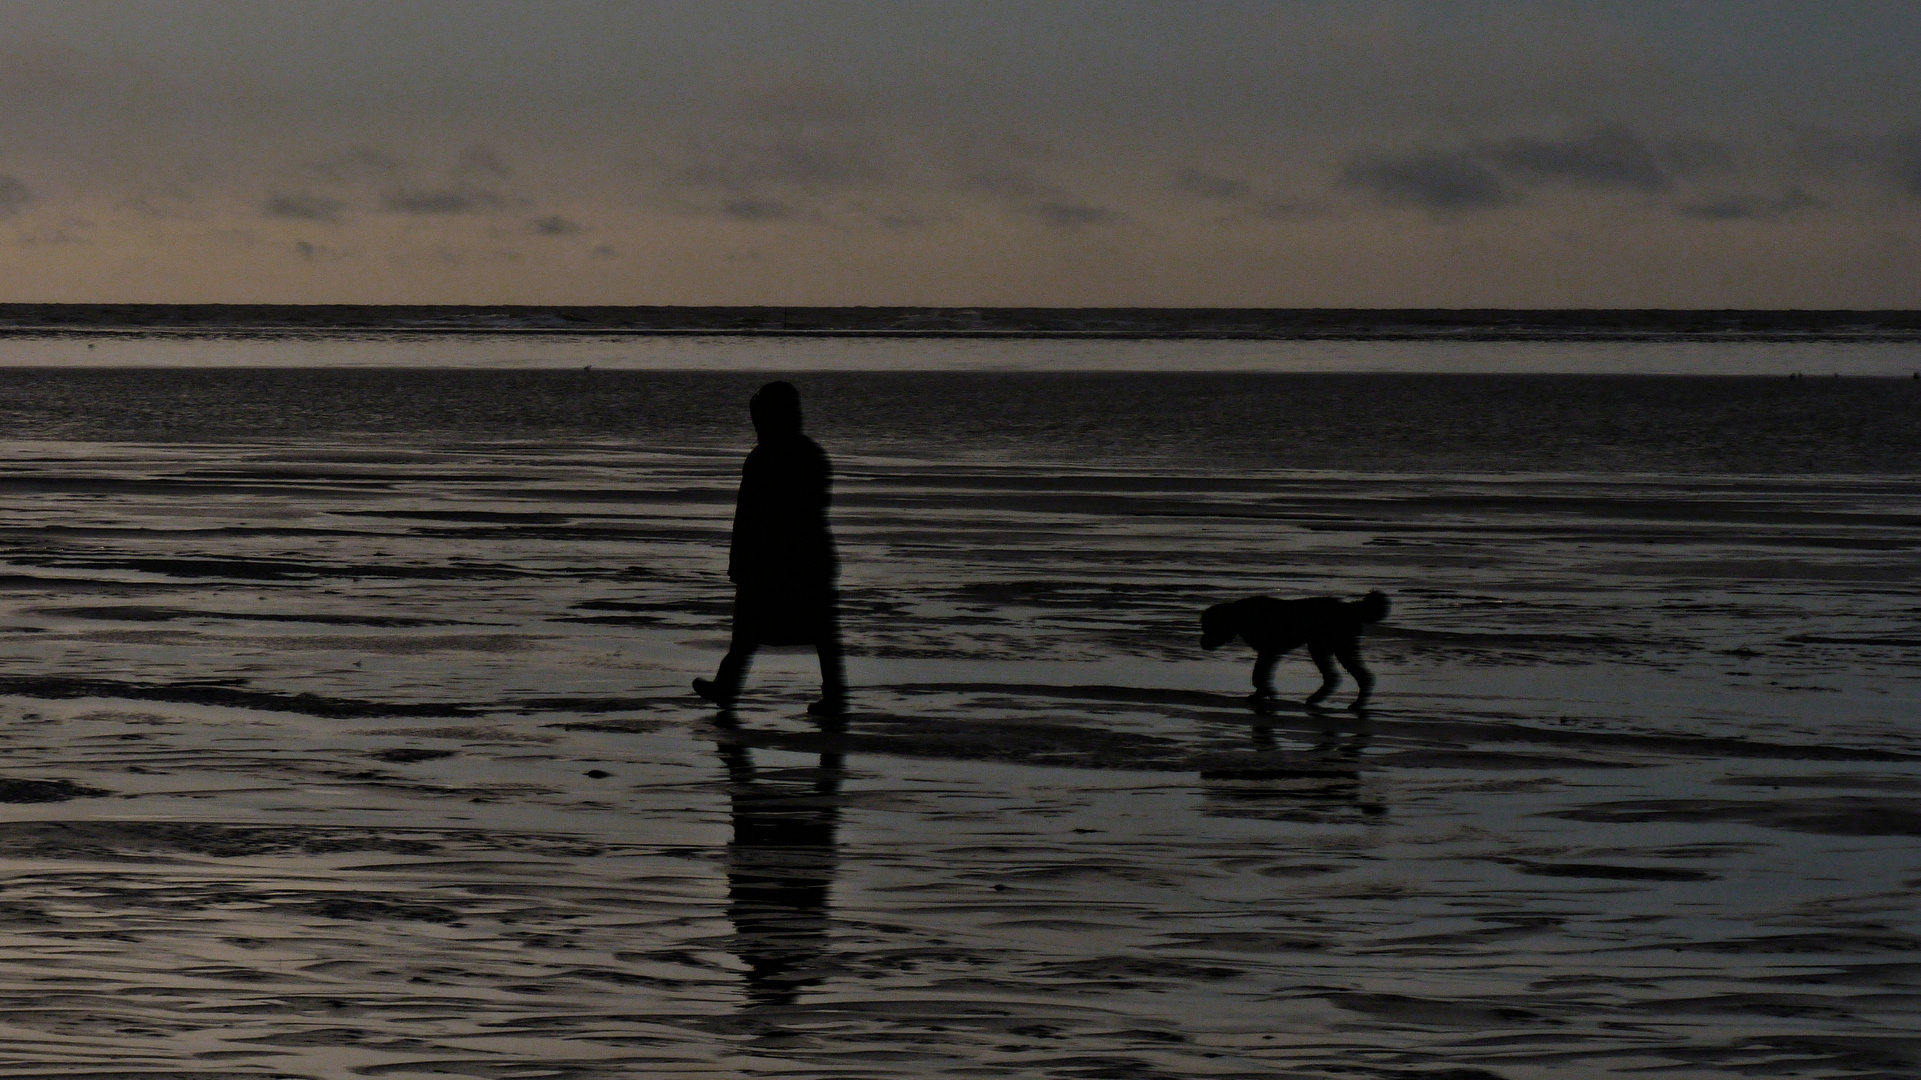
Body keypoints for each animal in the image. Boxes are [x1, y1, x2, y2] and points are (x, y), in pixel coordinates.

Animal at [1191, 588, 1390, 707]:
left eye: (1209, 628)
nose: (1202, 643)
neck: (1240, 616)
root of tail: (1352, 608)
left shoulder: (1269, 651)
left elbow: (1258, 676)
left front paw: (1267, 693)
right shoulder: (1269, 653)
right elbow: (1260, 675)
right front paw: (1260, 695)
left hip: (1329, 646)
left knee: (1349, 676)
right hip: (1330, 647)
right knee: (1342, 677)